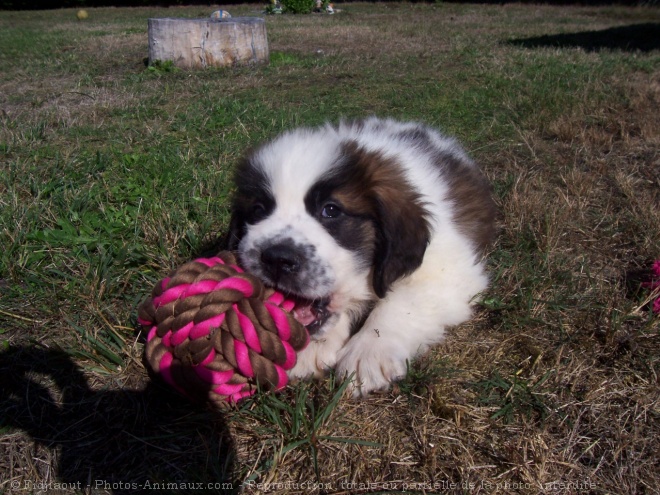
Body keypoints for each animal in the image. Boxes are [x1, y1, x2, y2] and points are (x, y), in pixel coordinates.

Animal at [227, 118, 496, 398]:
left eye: (331, 210)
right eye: (258, 210)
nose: (277, 258)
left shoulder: (449, 267)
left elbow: (400, 302)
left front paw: (368, 353)